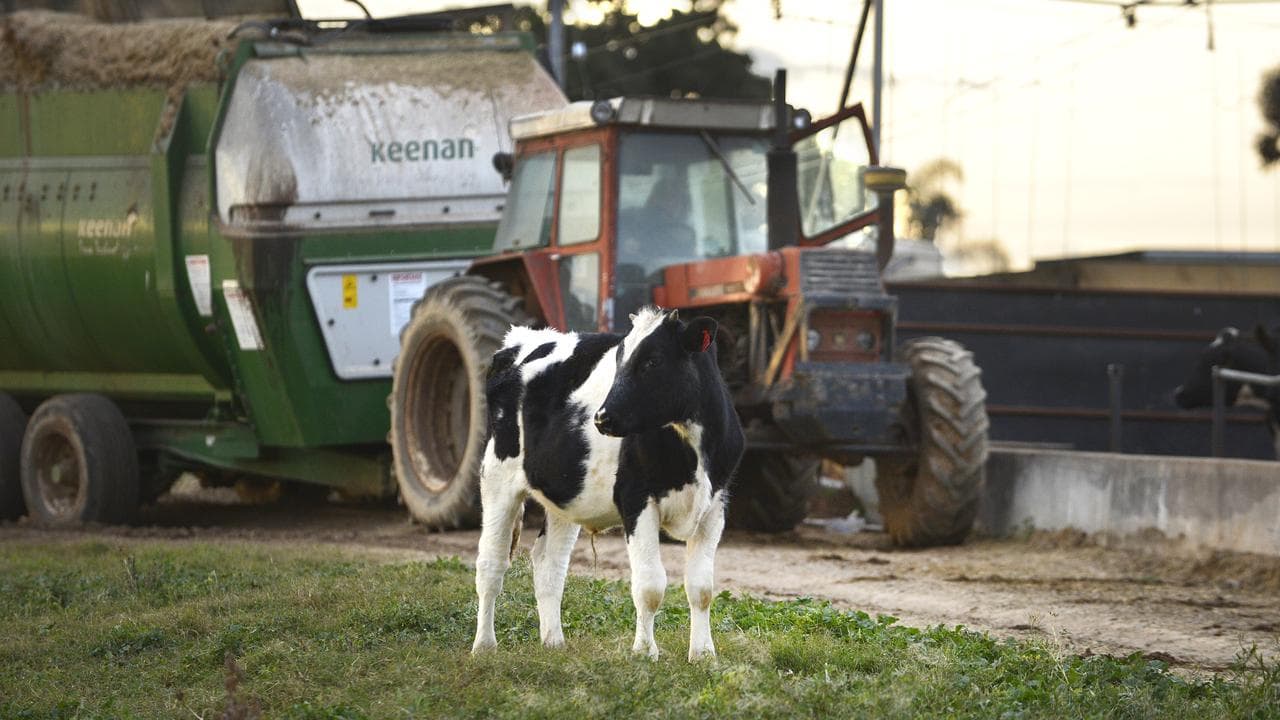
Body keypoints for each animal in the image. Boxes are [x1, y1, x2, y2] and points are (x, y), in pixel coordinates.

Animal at [471, 307, 745, 661]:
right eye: (618, 360)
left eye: (652, 361)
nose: (602, 418)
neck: (693, 450)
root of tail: (520, 339)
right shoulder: (637, 499)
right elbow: (649, 585)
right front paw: (644, 651)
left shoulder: (715, 505)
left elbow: (701, 588)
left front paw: (703, 655)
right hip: (497, 476)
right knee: (490, 564)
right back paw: (483, 646)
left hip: (565, 496)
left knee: (549, 565)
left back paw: (553, 642)